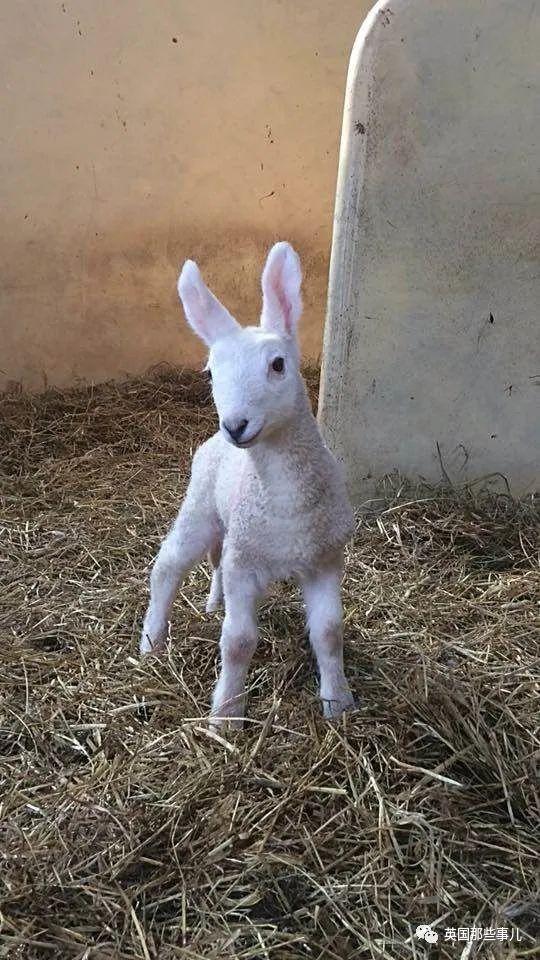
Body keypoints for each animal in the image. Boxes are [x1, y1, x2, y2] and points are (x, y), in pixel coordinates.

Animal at [141, 242, 356, 728]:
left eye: (278, 365)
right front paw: (226, 715)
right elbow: (238, 643)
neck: (285, 499)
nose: (235, 425)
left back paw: (212, 602)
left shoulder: (324, 559)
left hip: (231, 530)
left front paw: (338, 702)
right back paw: (151, 643)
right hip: (200, 508)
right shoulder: (247, 568)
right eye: (209, 374)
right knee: (167, 566)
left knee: (217, 560)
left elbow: (330, 633)